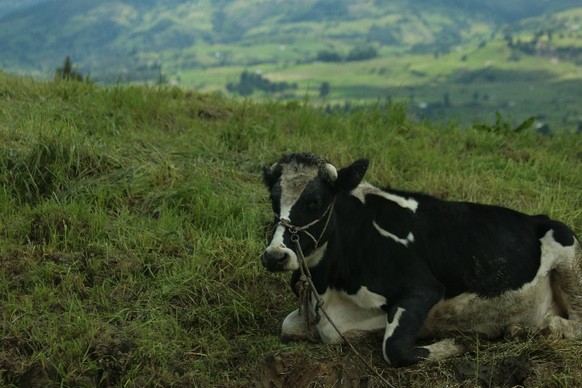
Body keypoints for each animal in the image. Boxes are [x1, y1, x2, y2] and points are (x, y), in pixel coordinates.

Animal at [262, 152, 582, 366]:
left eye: (315, 201)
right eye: (273, 199)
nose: (275, 256)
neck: (329, 283)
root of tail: (539, 217)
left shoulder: (423, 287)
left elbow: (394, 349)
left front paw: (456, 343)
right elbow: (288, 326)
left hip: (568, 254)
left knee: (574, 324)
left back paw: (539, 327)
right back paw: (519, 329)